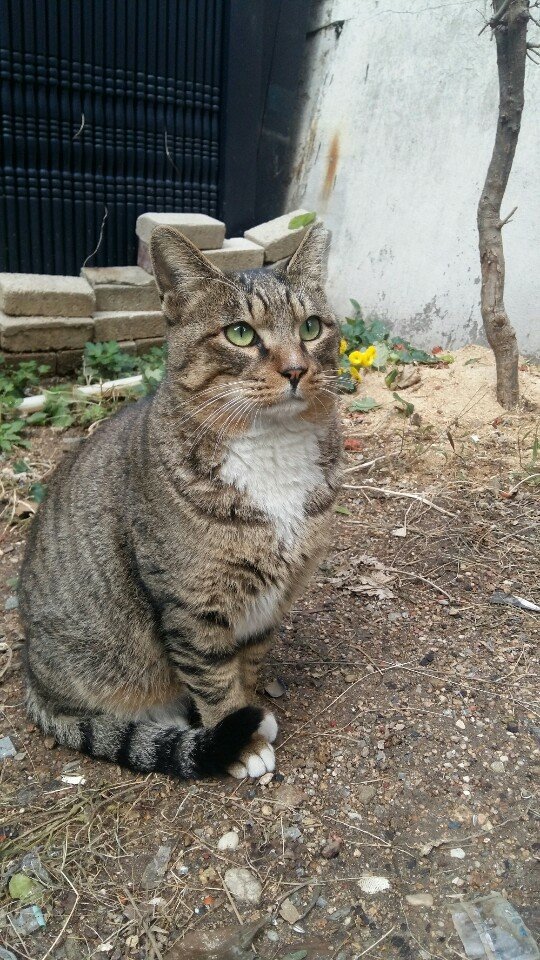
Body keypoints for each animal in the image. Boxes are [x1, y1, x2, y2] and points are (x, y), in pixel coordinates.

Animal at [21, 223, 342, 780]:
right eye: (240, 334)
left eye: (311, 327)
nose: (297, 369)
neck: (273, 449)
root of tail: (32, 682)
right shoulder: (192, 605)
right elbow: (213, 678)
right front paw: (240, 738)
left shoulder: (274, 600)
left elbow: (248, 662)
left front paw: (252, 706)